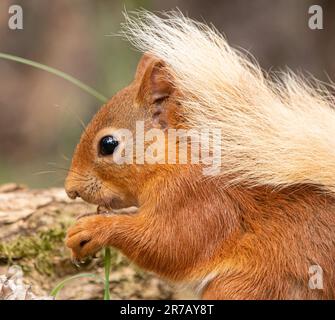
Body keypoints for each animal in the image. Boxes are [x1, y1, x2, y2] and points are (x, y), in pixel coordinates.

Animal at [65, 11, 335, 298]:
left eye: (108, 144)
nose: (71, 190)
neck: (179, 158)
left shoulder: (200, 200)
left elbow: (169, 244)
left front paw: (91, 229)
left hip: (248, 285)